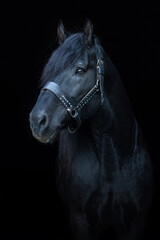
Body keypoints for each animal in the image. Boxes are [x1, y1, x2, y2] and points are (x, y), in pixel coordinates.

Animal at [29, 19, 153, 239]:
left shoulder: (135, 222)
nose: (37, 120)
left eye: (80, 70)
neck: (113, 163)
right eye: (49, 71)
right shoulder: (80, 222)